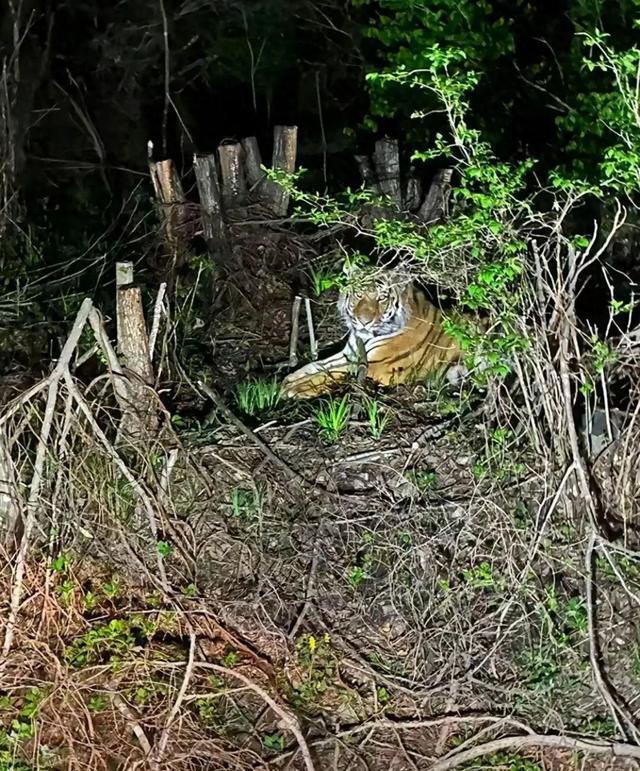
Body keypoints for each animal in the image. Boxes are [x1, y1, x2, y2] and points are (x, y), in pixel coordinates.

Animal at [281, 268, 472, 399]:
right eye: (359, 294)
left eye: (381, 298)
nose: (364, 321)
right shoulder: (349, 354)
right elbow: (317, 366)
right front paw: (289, 379)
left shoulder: (375, 366)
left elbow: (329, 374)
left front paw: (293, 389)